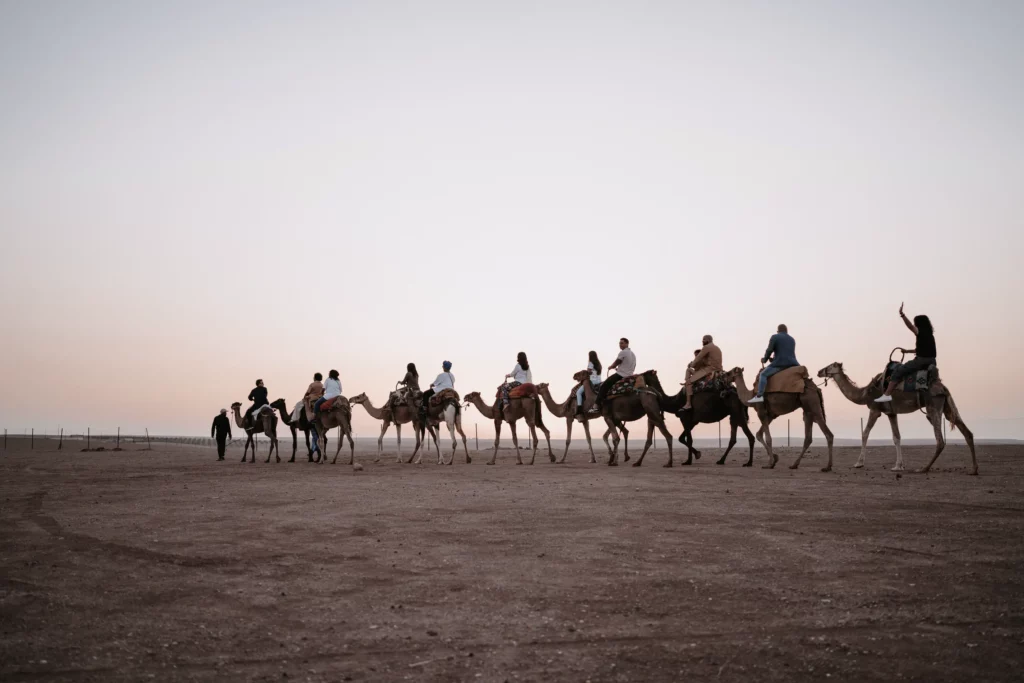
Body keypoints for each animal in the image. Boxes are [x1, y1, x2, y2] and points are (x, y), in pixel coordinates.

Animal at [815, 362, 974, 475]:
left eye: (830, 365)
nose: (819, 371)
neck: (865, 393)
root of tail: (943, 388)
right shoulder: (891, 413)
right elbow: (896, 436)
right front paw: (898, 466)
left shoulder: (875, 409)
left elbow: (865, 433)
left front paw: (859, 463)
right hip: (947, 406)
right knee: (967, 432)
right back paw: (974, 469)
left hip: (933, 405)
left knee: (940, 440)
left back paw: (924, 469)